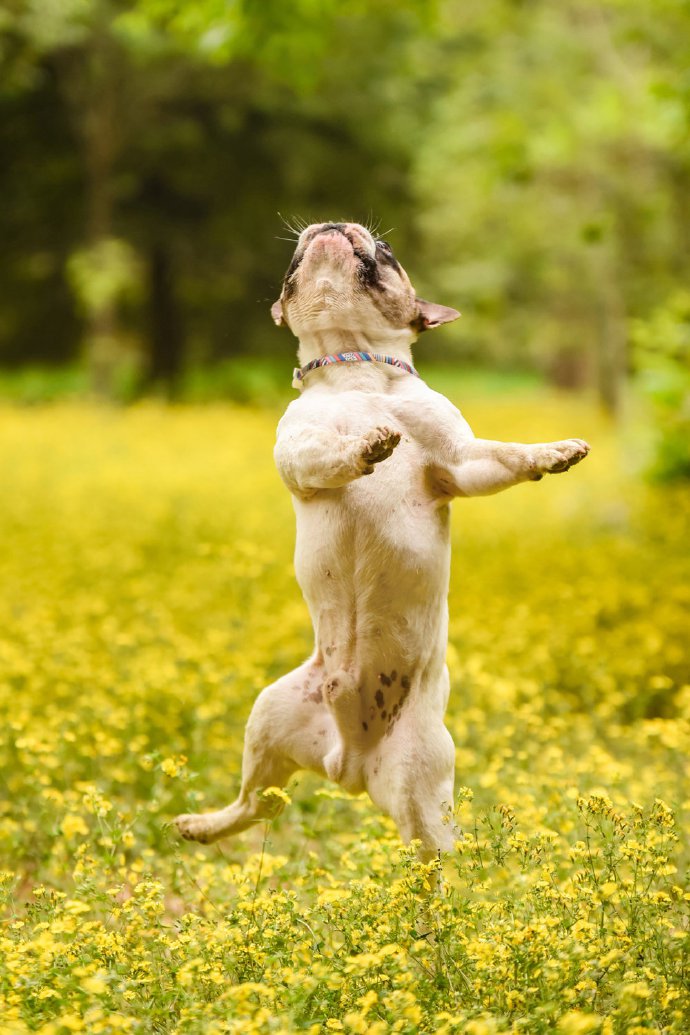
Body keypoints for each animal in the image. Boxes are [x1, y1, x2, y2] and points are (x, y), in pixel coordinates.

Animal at [175, 220, 591, 856]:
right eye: (295, 254)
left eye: (388, 251)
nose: (329, 225)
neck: (357, 372)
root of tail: (346, 764)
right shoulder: (298, 453)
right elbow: (326, 453)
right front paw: (363, 447)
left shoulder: (461, 462)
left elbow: (505, 456)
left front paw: (553, 452)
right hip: (268, 718)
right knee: (254, 805)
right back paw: (201, 825)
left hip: (421, 786)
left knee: (425, 856)